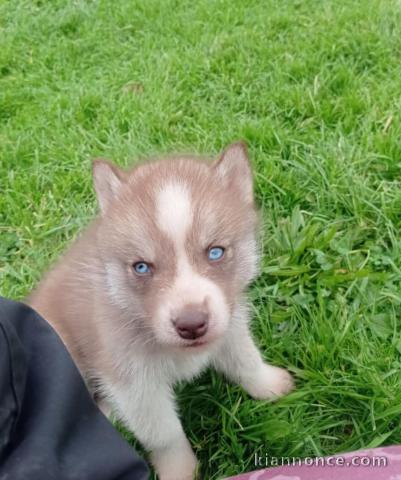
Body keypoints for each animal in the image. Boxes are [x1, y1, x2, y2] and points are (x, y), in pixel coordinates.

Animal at [27, 142, 290, 480]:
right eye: (142, 267)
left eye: (215, 252)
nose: (191, 324)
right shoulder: (135, 381)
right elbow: (164, 434)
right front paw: (179, 469)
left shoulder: (230, 325)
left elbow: (246, 359)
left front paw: (268, 384)